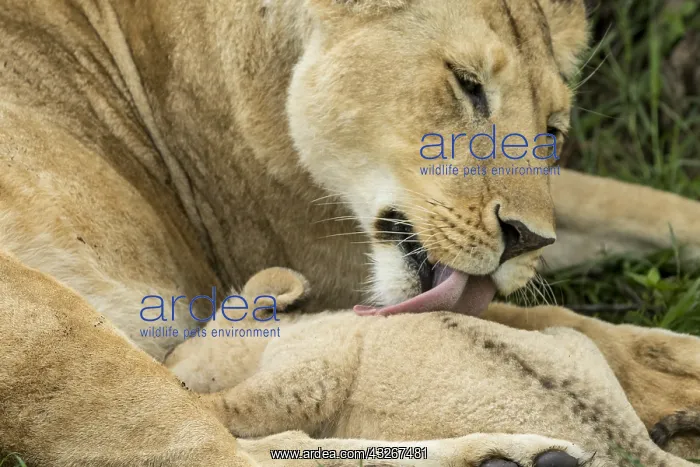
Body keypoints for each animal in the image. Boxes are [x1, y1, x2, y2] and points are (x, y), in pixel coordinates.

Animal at [1, 0, 700, 465]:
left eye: (552, 131)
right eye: (468, 85)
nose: (527, 238)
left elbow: (628, 204)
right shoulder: (324, 268)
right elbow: (584, 328)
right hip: (44, 320)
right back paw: (510, 456)